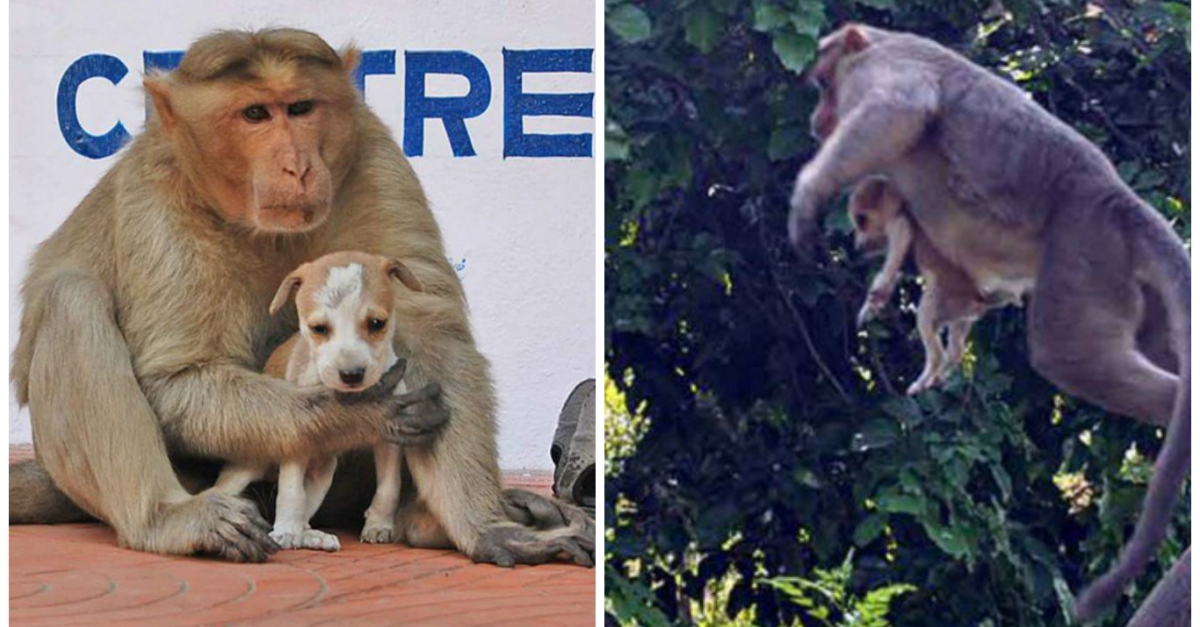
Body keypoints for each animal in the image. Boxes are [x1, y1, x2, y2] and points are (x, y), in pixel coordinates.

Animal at [10, 28, 594, 568]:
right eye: (255, 114)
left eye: (300, 108)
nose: (298, 167)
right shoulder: (155, 198)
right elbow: (179, 377)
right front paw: (349, 417)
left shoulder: (375, 158)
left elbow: (433, 336)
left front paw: (485, 525)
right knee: (71, 299)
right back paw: (170, 518)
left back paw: (428, 521)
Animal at [848, 176, 1019, 395]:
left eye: (861, 220)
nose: (856, 244)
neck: (902, 205)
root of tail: (978, 298)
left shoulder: (899, 226)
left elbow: (890, 270)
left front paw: (870, 306)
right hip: (962, 315)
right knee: (956, 348)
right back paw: (941, 375)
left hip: (943, 303)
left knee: (930, 330)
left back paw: (924, 380)